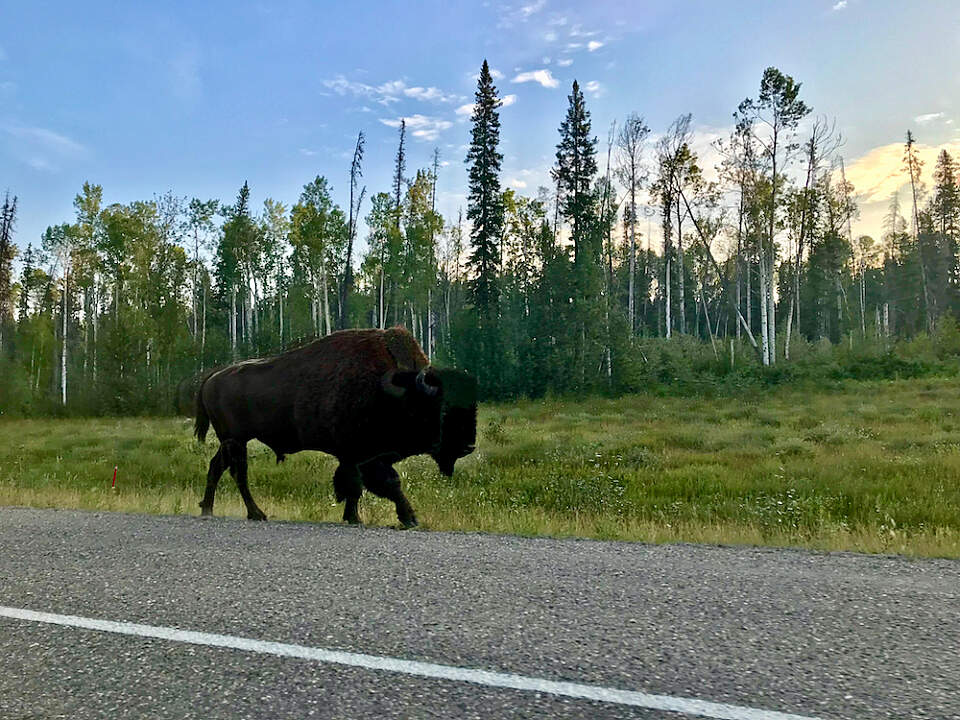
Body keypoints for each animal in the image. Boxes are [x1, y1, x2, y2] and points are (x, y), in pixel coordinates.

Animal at [194, 330, 476, 524]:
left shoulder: (364, 457)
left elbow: (360, 486)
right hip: (236, 441)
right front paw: (405, 518)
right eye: (442, 410)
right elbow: (373, 483)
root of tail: (212, 377)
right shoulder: (358, 455)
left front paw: (357, 516)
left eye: (472, 407)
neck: (393, 393)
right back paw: (255, 513)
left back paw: (208, 508)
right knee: (238, 473)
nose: (468, 446)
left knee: (217, 467)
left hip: (230, 442)